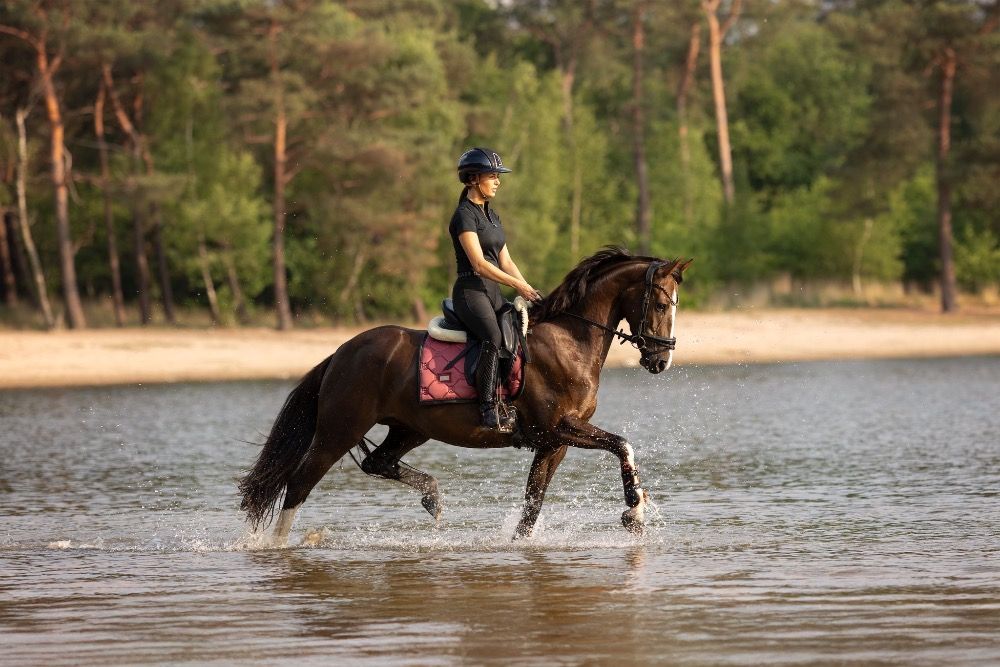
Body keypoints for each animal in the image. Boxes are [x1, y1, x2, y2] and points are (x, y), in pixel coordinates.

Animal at [239, 246, 692, 545]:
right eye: (660, 303)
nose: (661, 360)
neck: (570, 339)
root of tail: (342, 352)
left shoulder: (553, 443)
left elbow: (532, 505)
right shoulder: (561, 428)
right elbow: (623, 444)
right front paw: (634, 511)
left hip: (410, 428)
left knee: (376, 463)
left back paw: (432, 496)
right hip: (340, 429)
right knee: (300, 481)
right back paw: (275, 547)